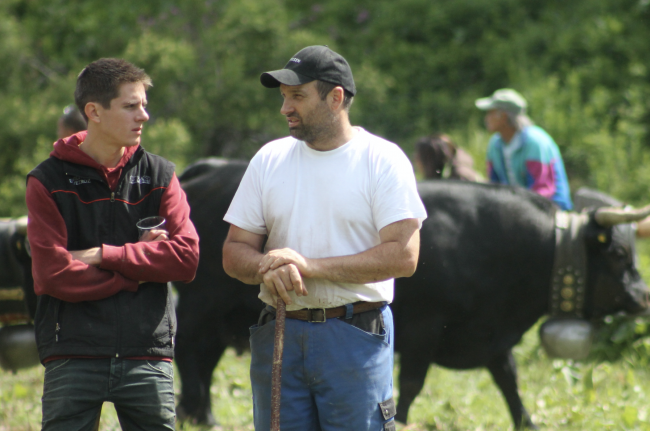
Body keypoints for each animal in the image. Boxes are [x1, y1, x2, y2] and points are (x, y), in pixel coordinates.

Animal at [173, 160, 648, 430]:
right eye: (619, 253)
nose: (643, 296)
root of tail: (208, 172)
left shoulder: (493, 338)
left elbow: (509, 382)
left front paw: (528, 423)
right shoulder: (423, 331)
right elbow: (413, 385)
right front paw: (400, 419)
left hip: (223, 319)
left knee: (204, 360)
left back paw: (197, 414)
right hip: (200, 305)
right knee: (188, 354)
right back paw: (203, 416)